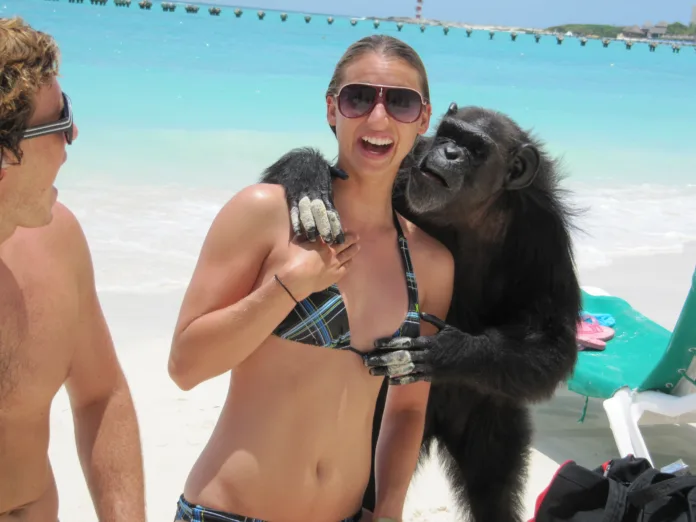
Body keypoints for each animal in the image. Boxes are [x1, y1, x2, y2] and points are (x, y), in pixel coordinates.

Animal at [258, 102, 580, 520]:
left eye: (477, 148)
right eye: (449, 133)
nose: (451, 152)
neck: (470, 212)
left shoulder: (546, 232)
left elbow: (551, 340)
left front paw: (448, 352)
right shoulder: (404, 168)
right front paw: (307, 178)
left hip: (488, 416)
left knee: (493, 489)